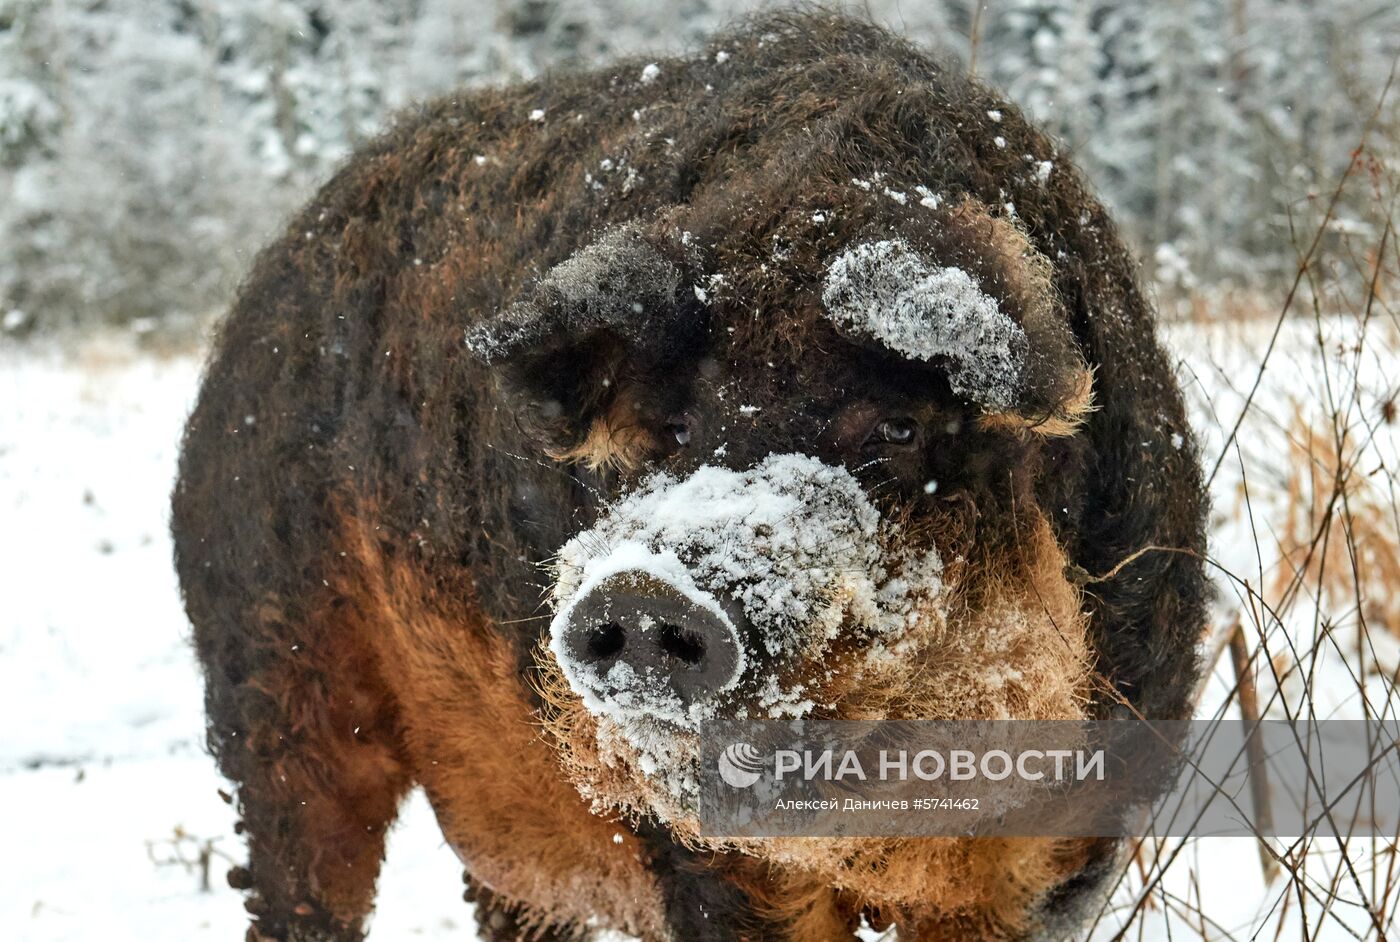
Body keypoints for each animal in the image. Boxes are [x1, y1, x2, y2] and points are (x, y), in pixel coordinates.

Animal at [172, 9, 1204, 940]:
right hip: (268, 673)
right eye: (671, 428)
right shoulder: (704, 858)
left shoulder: (1071, 839)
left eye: (902, 425)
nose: (645, 591)